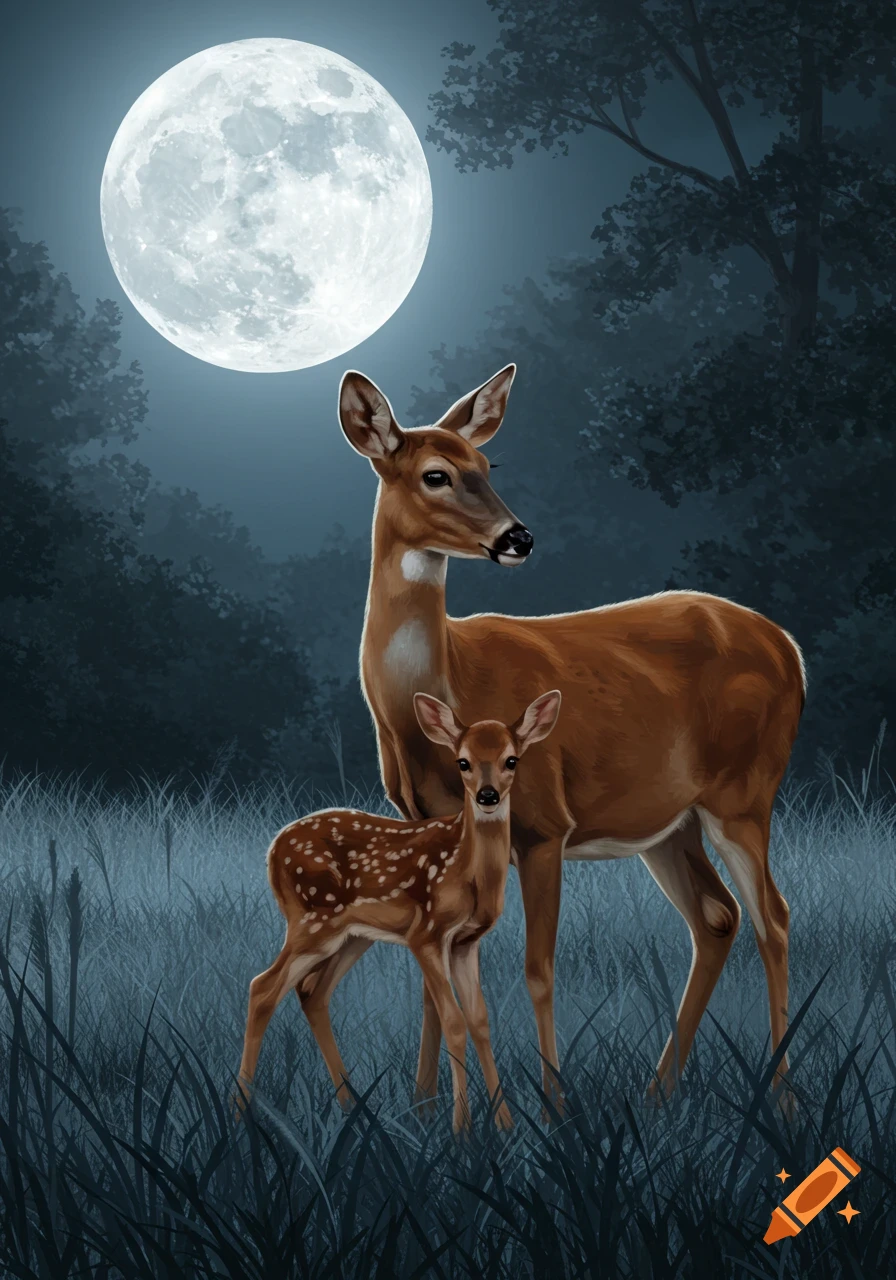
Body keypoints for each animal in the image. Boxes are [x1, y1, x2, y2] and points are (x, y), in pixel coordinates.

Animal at [237, 688, 562, 1133]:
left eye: (511, 759)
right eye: (462, 761)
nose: (488, 796)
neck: (467, 872)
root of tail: (272, 849)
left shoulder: (466, 941)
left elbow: (480, 1020)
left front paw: (505, 1124)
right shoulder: (426, 934)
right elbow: (453, 1020)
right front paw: (463, 1129)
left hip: (352, 934)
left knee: (311, 992)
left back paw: (351, 1107)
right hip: (312, 920)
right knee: (263, 986)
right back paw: (239, 1110)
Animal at [332, 362, 806, 1118]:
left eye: (487, 465)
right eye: (437, 474)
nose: (518, 538)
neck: (441, 690)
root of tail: (790, 648)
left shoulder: (545, 822)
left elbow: (539, 967)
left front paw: (554, 1105)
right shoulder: (427, 827)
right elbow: (433, 980)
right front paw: (425, 1106)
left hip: (745, 793)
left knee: (775, 918)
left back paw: (782, 1098)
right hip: (669, 821)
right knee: (718, 916)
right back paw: (659, 1089)